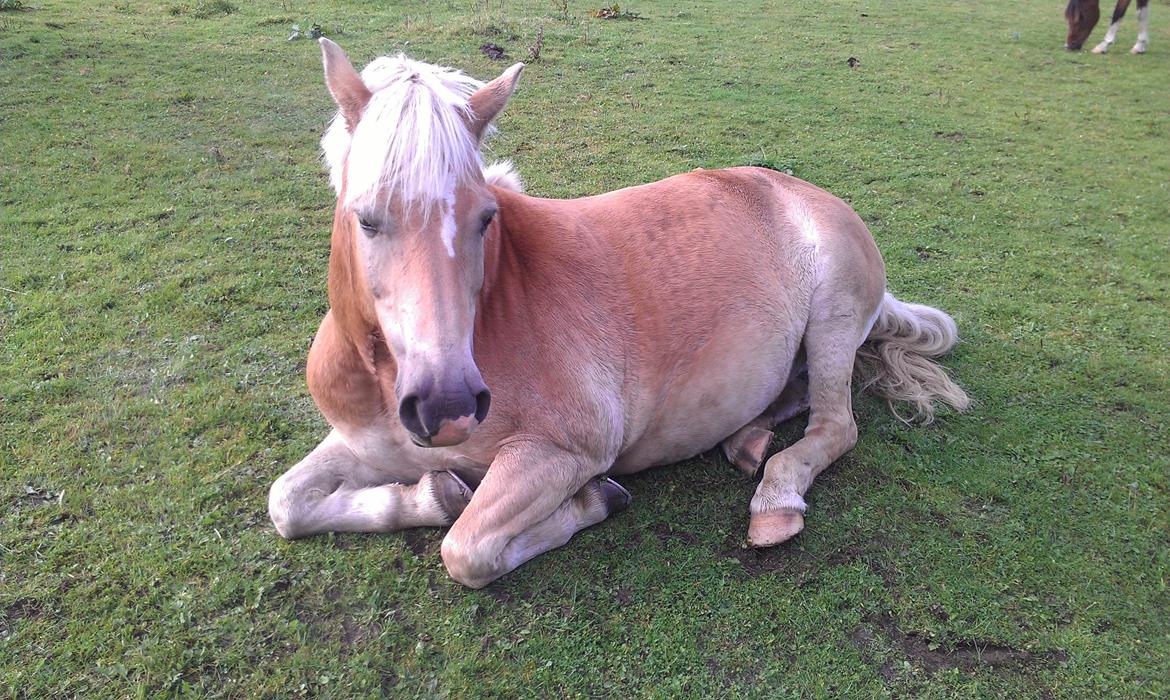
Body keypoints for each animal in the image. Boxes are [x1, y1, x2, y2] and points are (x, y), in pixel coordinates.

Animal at [267, 37, 968, 587]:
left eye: (486, 216)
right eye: (364, 216)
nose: (448, 406)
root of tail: (809, 194)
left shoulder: (561, 454)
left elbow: (467, 548)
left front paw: (593, 503)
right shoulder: (365, 440)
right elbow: (286, 503)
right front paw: (431, 493)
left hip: (832, 323)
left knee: (834, 425)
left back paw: (776, 497)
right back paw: (748, 439)